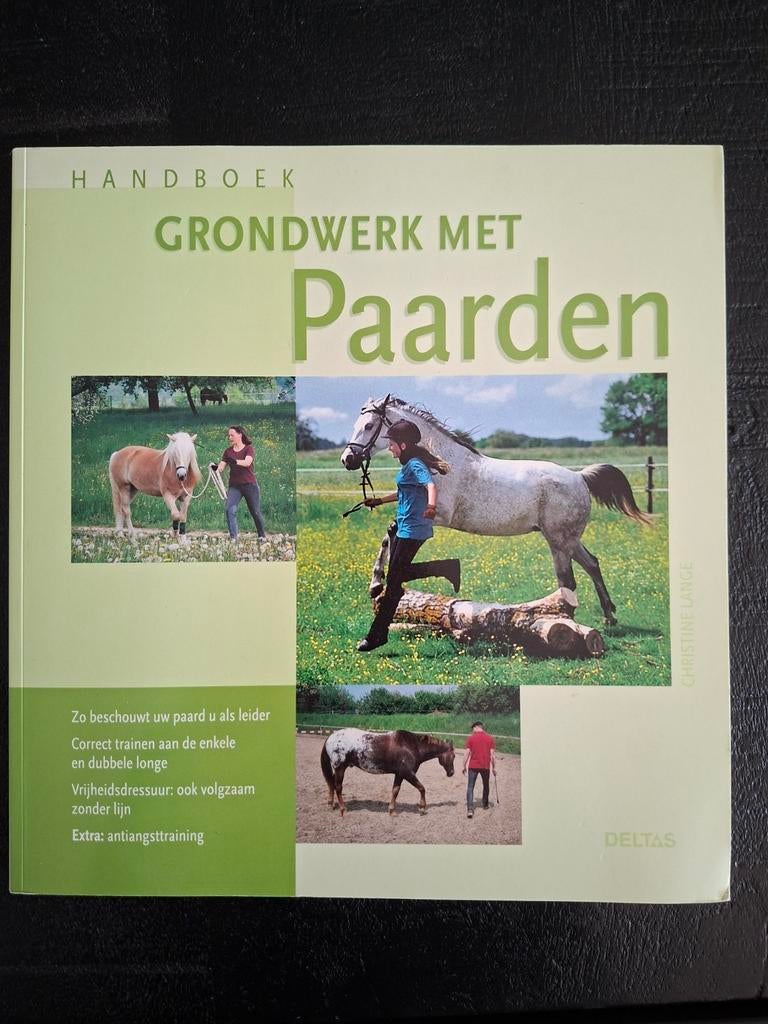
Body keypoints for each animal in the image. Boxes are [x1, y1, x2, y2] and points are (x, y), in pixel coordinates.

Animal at [321, 728, 455, 816]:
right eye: (453, 756)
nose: (452, 773)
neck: (413, 747)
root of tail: (331, 737)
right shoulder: (408, 773)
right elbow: (422, 788)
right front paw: (422, 808)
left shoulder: (399, 774)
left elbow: (395, 790)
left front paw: (392, 811)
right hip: (340, 768)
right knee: (338, 787)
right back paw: (342, 809)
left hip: (338, 769)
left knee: (331, 784)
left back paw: (331, 804)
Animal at [340, 396, 652, 624]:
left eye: (369, 426)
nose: (348, 459)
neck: (437, 463)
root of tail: (579, 477)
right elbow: (391, 534)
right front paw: (378, 584)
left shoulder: (435, 515)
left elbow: (392, 532)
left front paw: (376, 584)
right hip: (568, 540)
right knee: (592, 564)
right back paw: (609, 616)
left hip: (559, 542)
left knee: (569, 579)